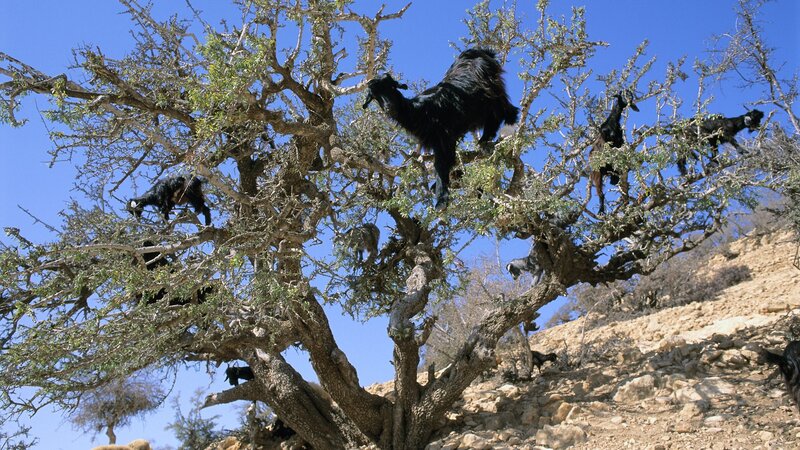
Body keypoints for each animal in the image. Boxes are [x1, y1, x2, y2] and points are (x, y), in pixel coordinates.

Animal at [363, 48, 519, 209]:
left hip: (491, 89)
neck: (419, 111)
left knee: (505, 108)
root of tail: (479, 51)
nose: (390, 107)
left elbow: (441, 165)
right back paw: (484, 140)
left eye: (393, 87)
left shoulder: (444, 137)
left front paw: (441, 201)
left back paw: (507, 128)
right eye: (375, 96)